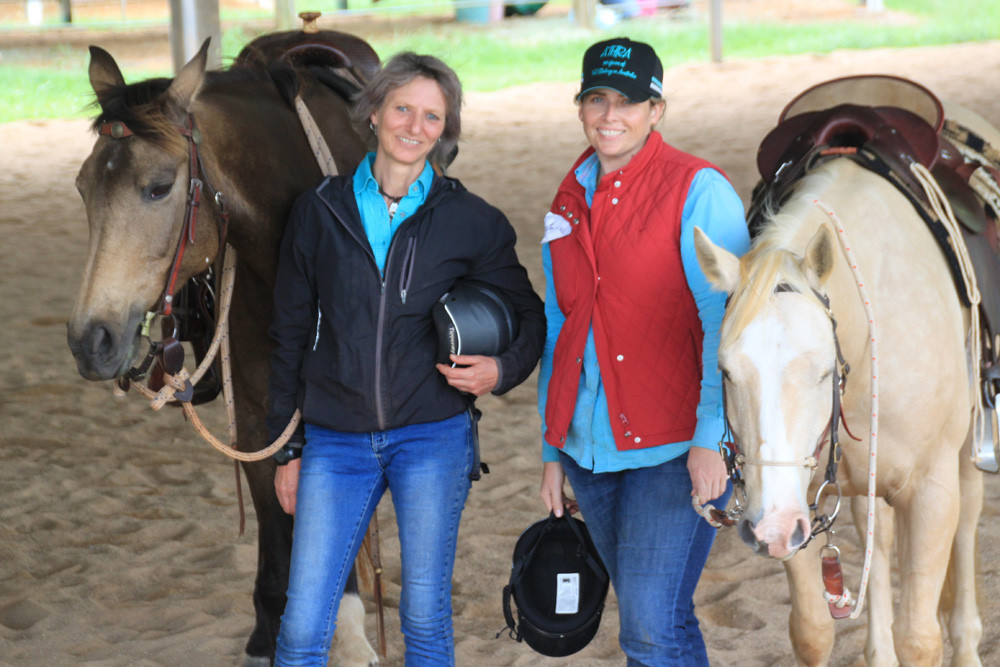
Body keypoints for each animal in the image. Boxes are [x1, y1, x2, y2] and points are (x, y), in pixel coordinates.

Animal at [65, 35, 378, 664]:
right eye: (84, 187)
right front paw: (270, 629)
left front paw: (350, 629)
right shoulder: (257, 411)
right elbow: (275, 510)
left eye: (160, 186)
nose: (91, 339)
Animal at [696, 96, 992, 664]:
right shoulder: (797, 504)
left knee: (968, 524)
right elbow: (812, 629)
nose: (766, 525)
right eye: (724, 370)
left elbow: (920, 637)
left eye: (823, 370)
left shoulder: (932, 489)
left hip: (967, 449)